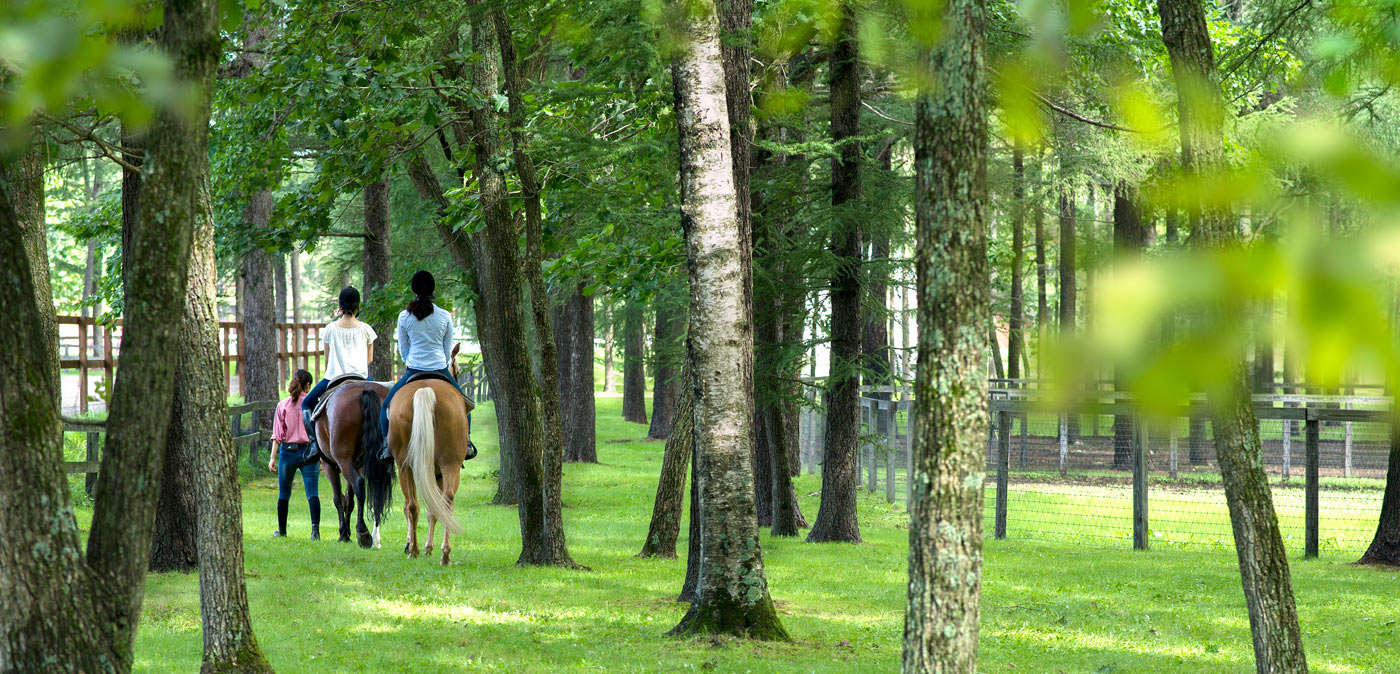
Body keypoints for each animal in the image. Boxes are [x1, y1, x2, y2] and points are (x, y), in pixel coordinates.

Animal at [309, 378, 392, 546]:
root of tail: (365, 390)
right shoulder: (357, 464)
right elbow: (349, 499)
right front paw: (346, 533)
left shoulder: (330, 466)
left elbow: (338, 498)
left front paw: (343, 533)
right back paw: (374, 536)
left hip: (343, 461)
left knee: (359, 484)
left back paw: (363, 532)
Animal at [389, 369, 476, 566]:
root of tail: (425, 389)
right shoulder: (437, 475)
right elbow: (433, 509)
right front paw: (427, 547)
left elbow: (424, 509)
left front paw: (421, 546)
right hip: (450, 465)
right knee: (446, 501)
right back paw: (444, 554)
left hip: (405, 466)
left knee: (413, 505)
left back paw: (414, 551)